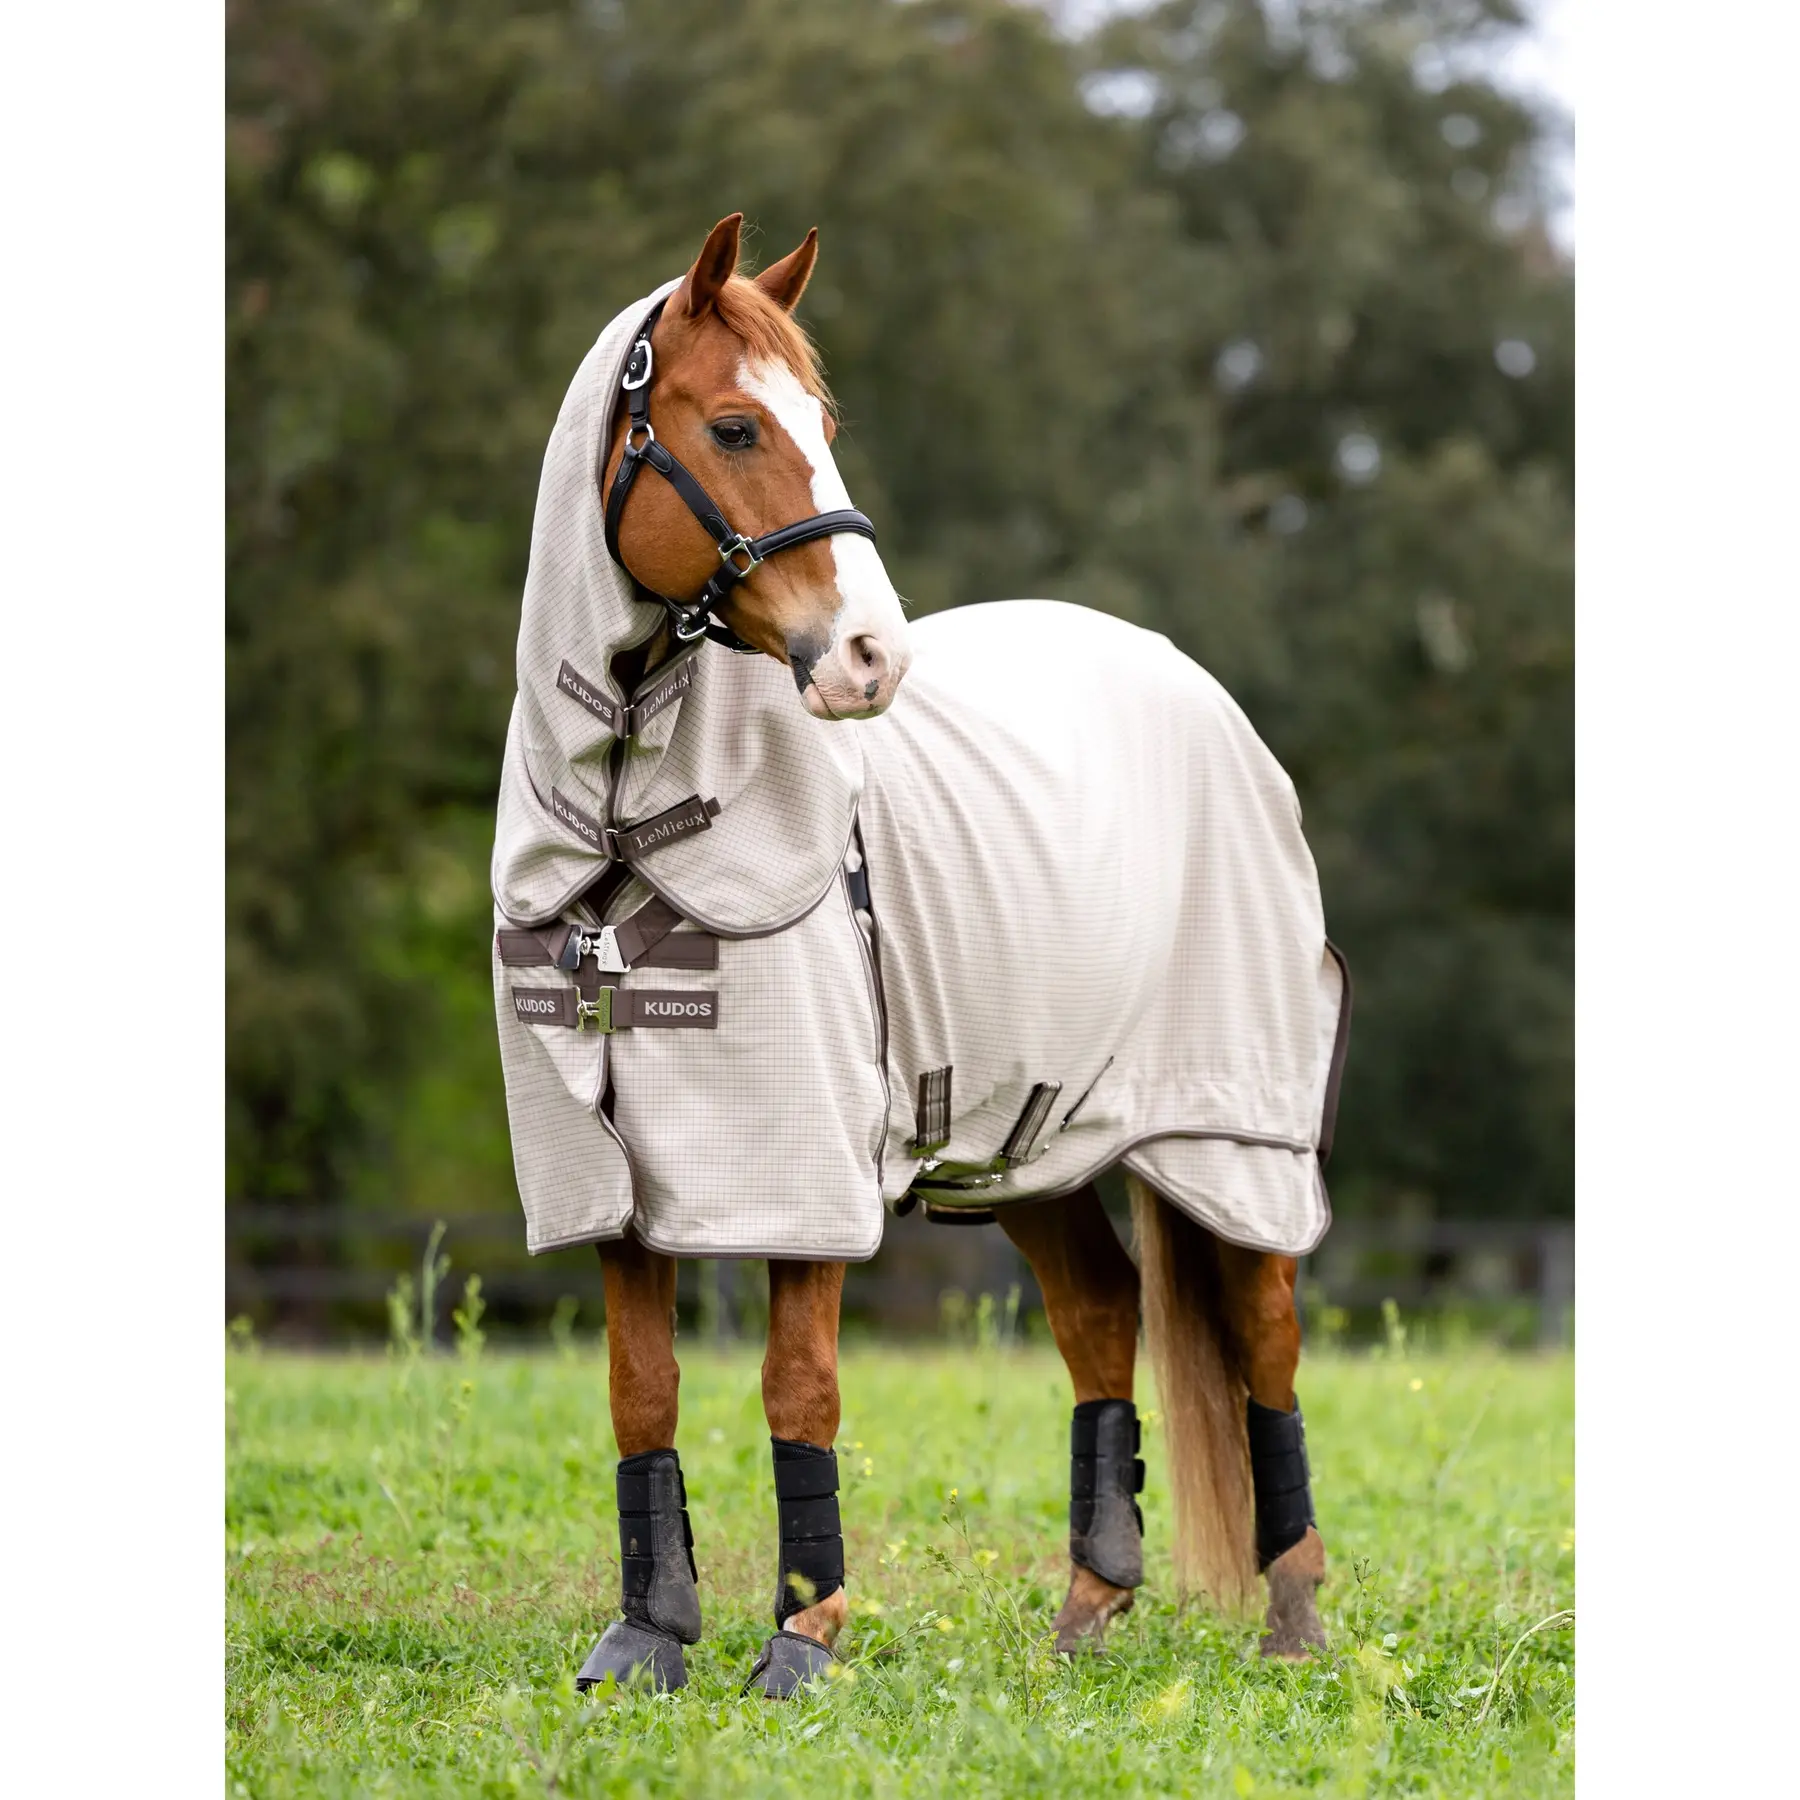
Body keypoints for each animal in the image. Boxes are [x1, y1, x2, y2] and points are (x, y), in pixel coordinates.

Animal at [489, 213, 1346, 1698]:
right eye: (732, 425)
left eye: (822, 423)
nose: (869, 657)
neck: (624, 830)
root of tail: (1203, 692)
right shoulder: (611, 1179)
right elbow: (640, 1389)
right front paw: (647, 1640)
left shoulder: (806, 1167)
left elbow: (800, 1386)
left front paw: (801, 1640)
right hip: (1033, 1140)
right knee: (1103, 1317)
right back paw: (1084, 1617)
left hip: (1233, 1135)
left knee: (1266, 1332)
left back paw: (1293, 1621)